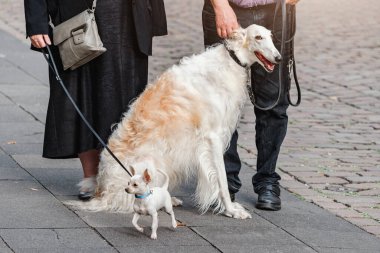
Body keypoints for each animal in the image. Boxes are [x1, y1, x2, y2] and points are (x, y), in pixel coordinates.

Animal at [74, 24, 280, 220]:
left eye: (271, 36)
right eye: (258, 37)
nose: (278, 58)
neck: (230, 60)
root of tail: (102, 192)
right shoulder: (213, 137)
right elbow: (221, 180)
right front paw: (231, 210)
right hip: (149, 164)